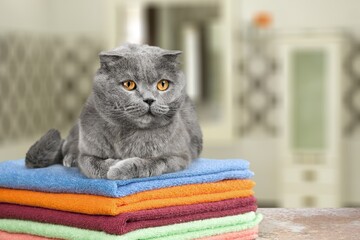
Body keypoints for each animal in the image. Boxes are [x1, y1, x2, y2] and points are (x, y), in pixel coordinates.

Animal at [25, 43, 202, 179]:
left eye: (163, 84)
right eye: (129, 84)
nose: (149, 99)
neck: (128, 135)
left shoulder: (179, 156)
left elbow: (153, 162)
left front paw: (119, 169)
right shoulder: (87, 153)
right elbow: (92, 164)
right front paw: (112, 165)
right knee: (67, 146)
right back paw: (70, 158)